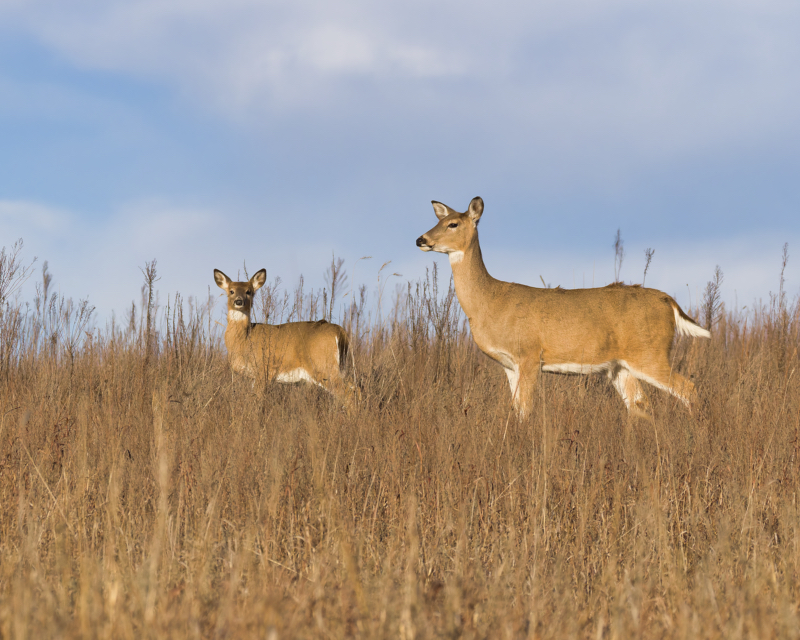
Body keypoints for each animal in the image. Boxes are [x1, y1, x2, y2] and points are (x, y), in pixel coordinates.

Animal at [216, 268, 360, 412]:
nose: (239, 302)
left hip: (323, 367)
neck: (245, 339)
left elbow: (256, 400)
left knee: (347, 392)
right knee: (354, 387)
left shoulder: (264, 370)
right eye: (231, 291)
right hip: (340, 367)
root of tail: (339, 331)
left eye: (249, 291)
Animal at [416, 200, 708, 420]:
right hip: (621, 366)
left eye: (453, 224)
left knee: (689, 389)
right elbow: (516, 409)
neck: (489, 301)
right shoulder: (509, 365)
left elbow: (526, 410)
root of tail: (669, 301)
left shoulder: (530, 355)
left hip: (650, 353)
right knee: (640, 404)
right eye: (439, 220)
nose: (421, 239)